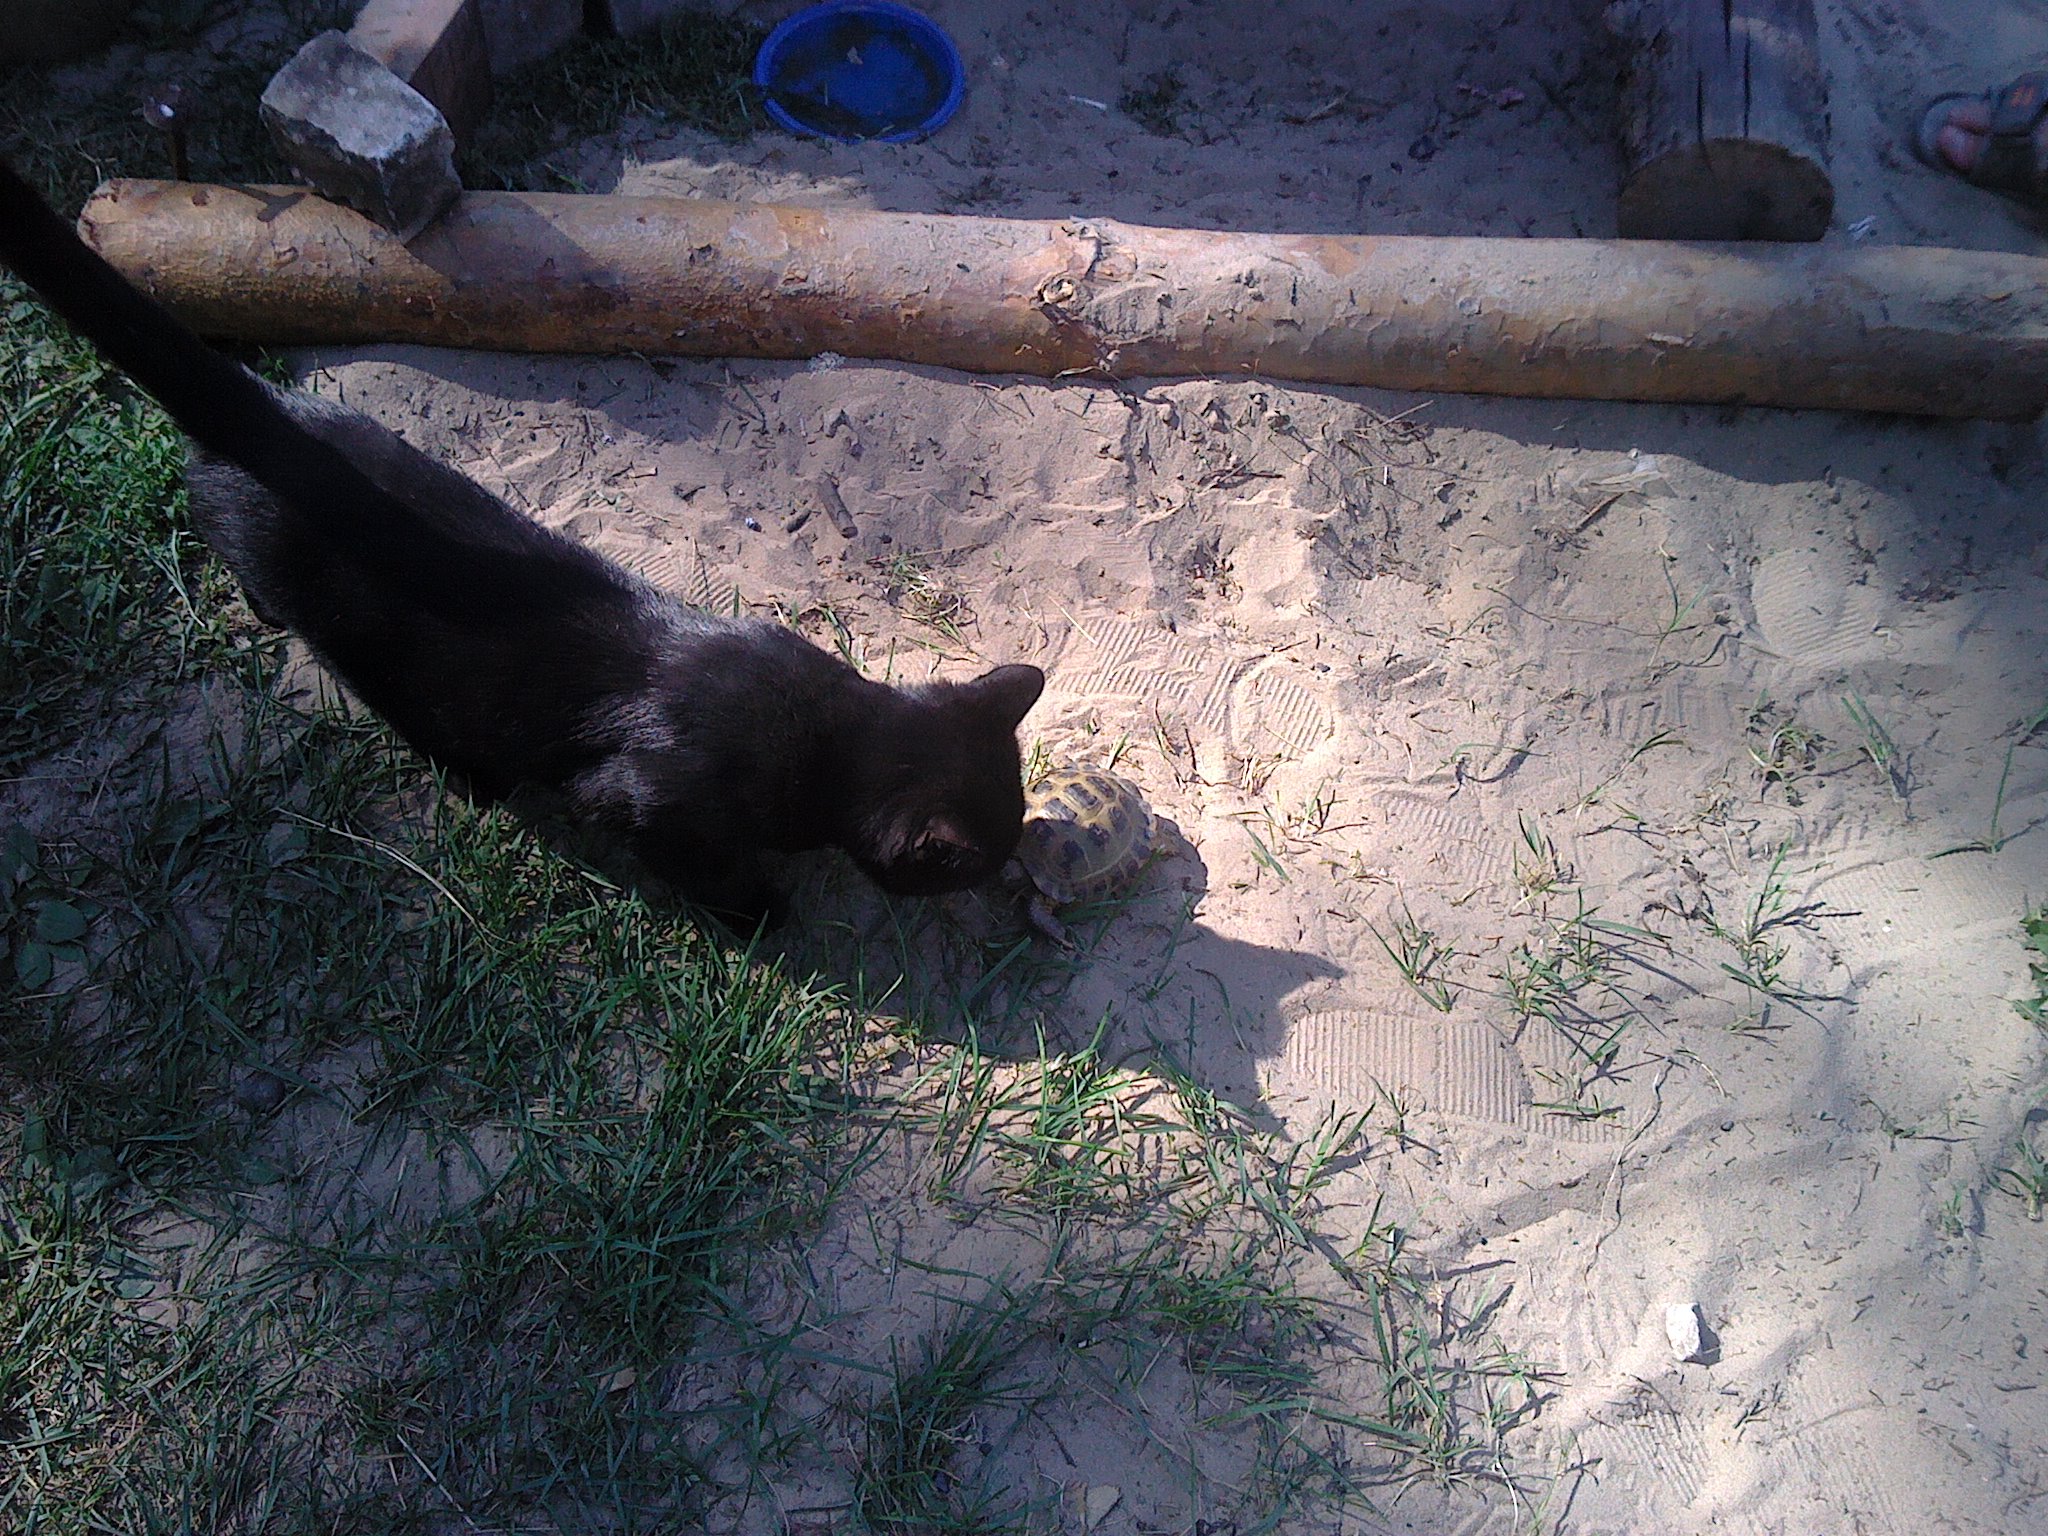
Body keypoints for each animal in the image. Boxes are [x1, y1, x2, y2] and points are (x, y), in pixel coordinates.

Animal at [0, 161, 1043, 929]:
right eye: (977, 860)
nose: (1013, 879)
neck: (829, 730)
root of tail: (272, 415)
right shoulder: (645, 797)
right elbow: (691, 859)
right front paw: (759, 910)